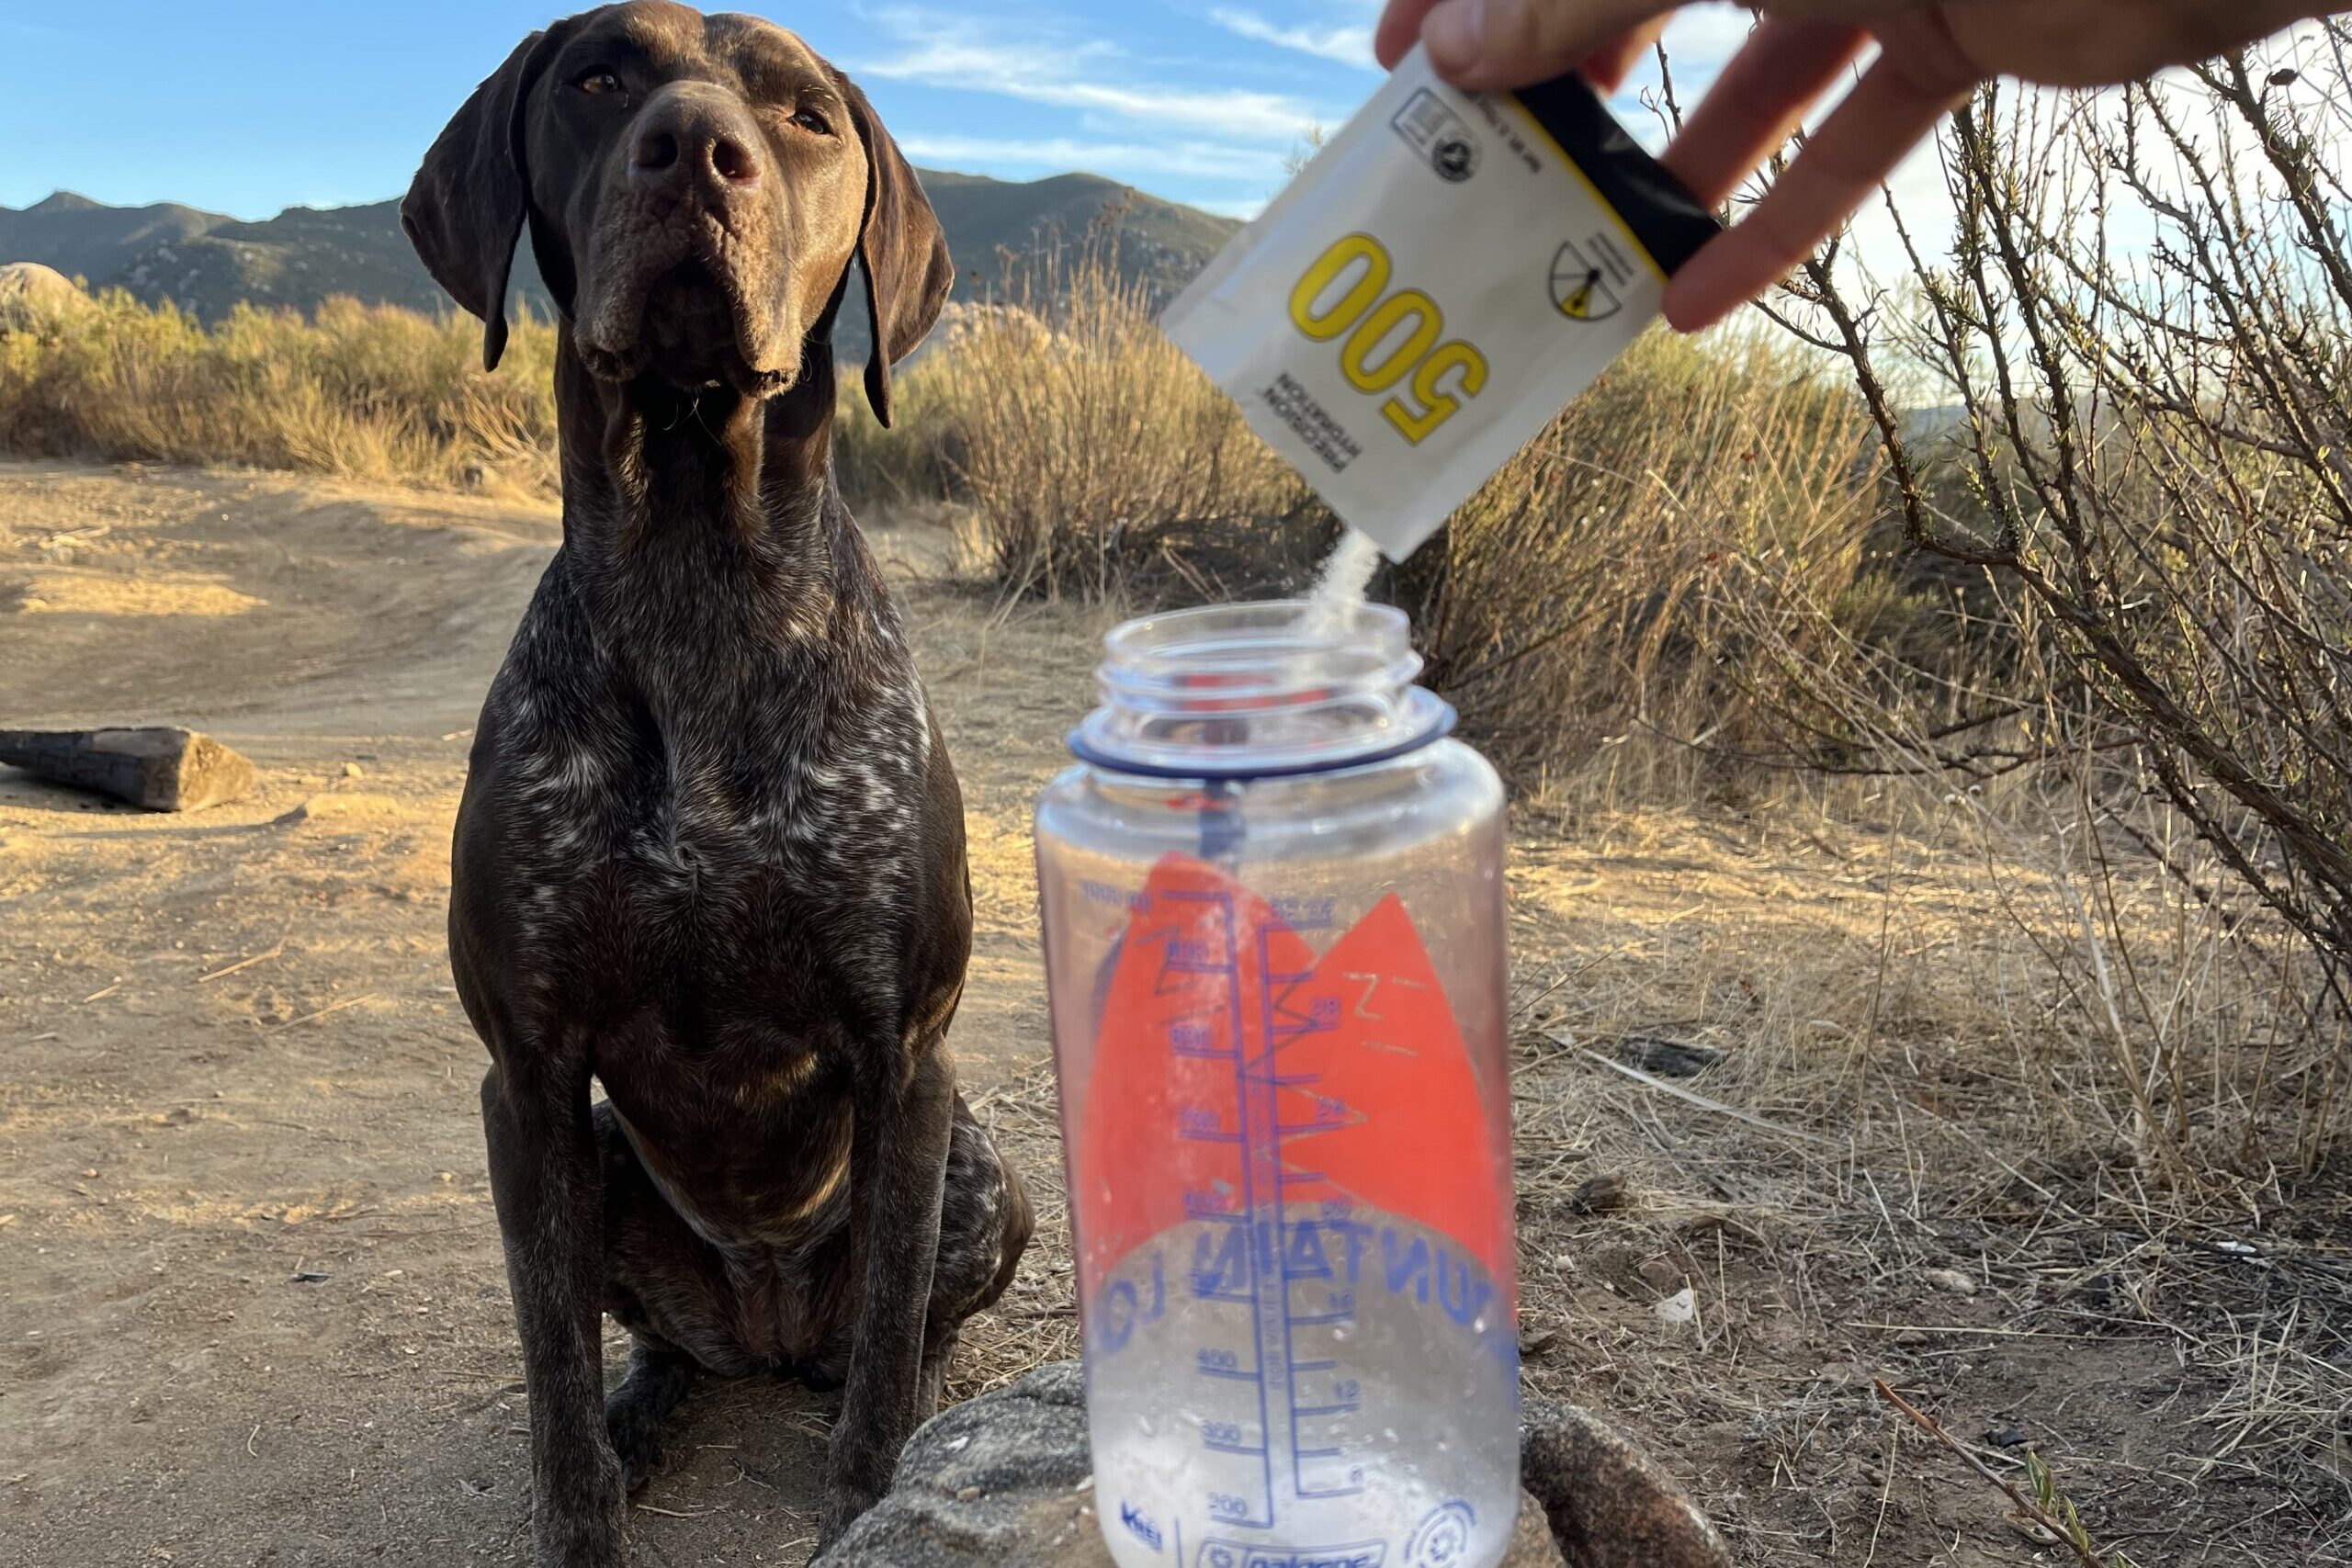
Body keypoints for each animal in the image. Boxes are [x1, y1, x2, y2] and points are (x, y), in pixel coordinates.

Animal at [400, 6, 1025, 1561]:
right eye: (597, 77)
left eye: (804, 115)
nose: (696, 151)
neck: (696, 574)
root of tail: (765, 1328)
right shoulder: (530, 1077)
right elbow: (554, 1380)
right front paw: (585, 1504)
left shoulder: (906, 1051)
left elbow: (881, 1373)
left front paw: (876, 1495)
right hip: (606, 1161)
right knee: (653, 1346)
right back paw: (651, 1404)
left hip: (982, 1169)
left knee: (886, 1336)